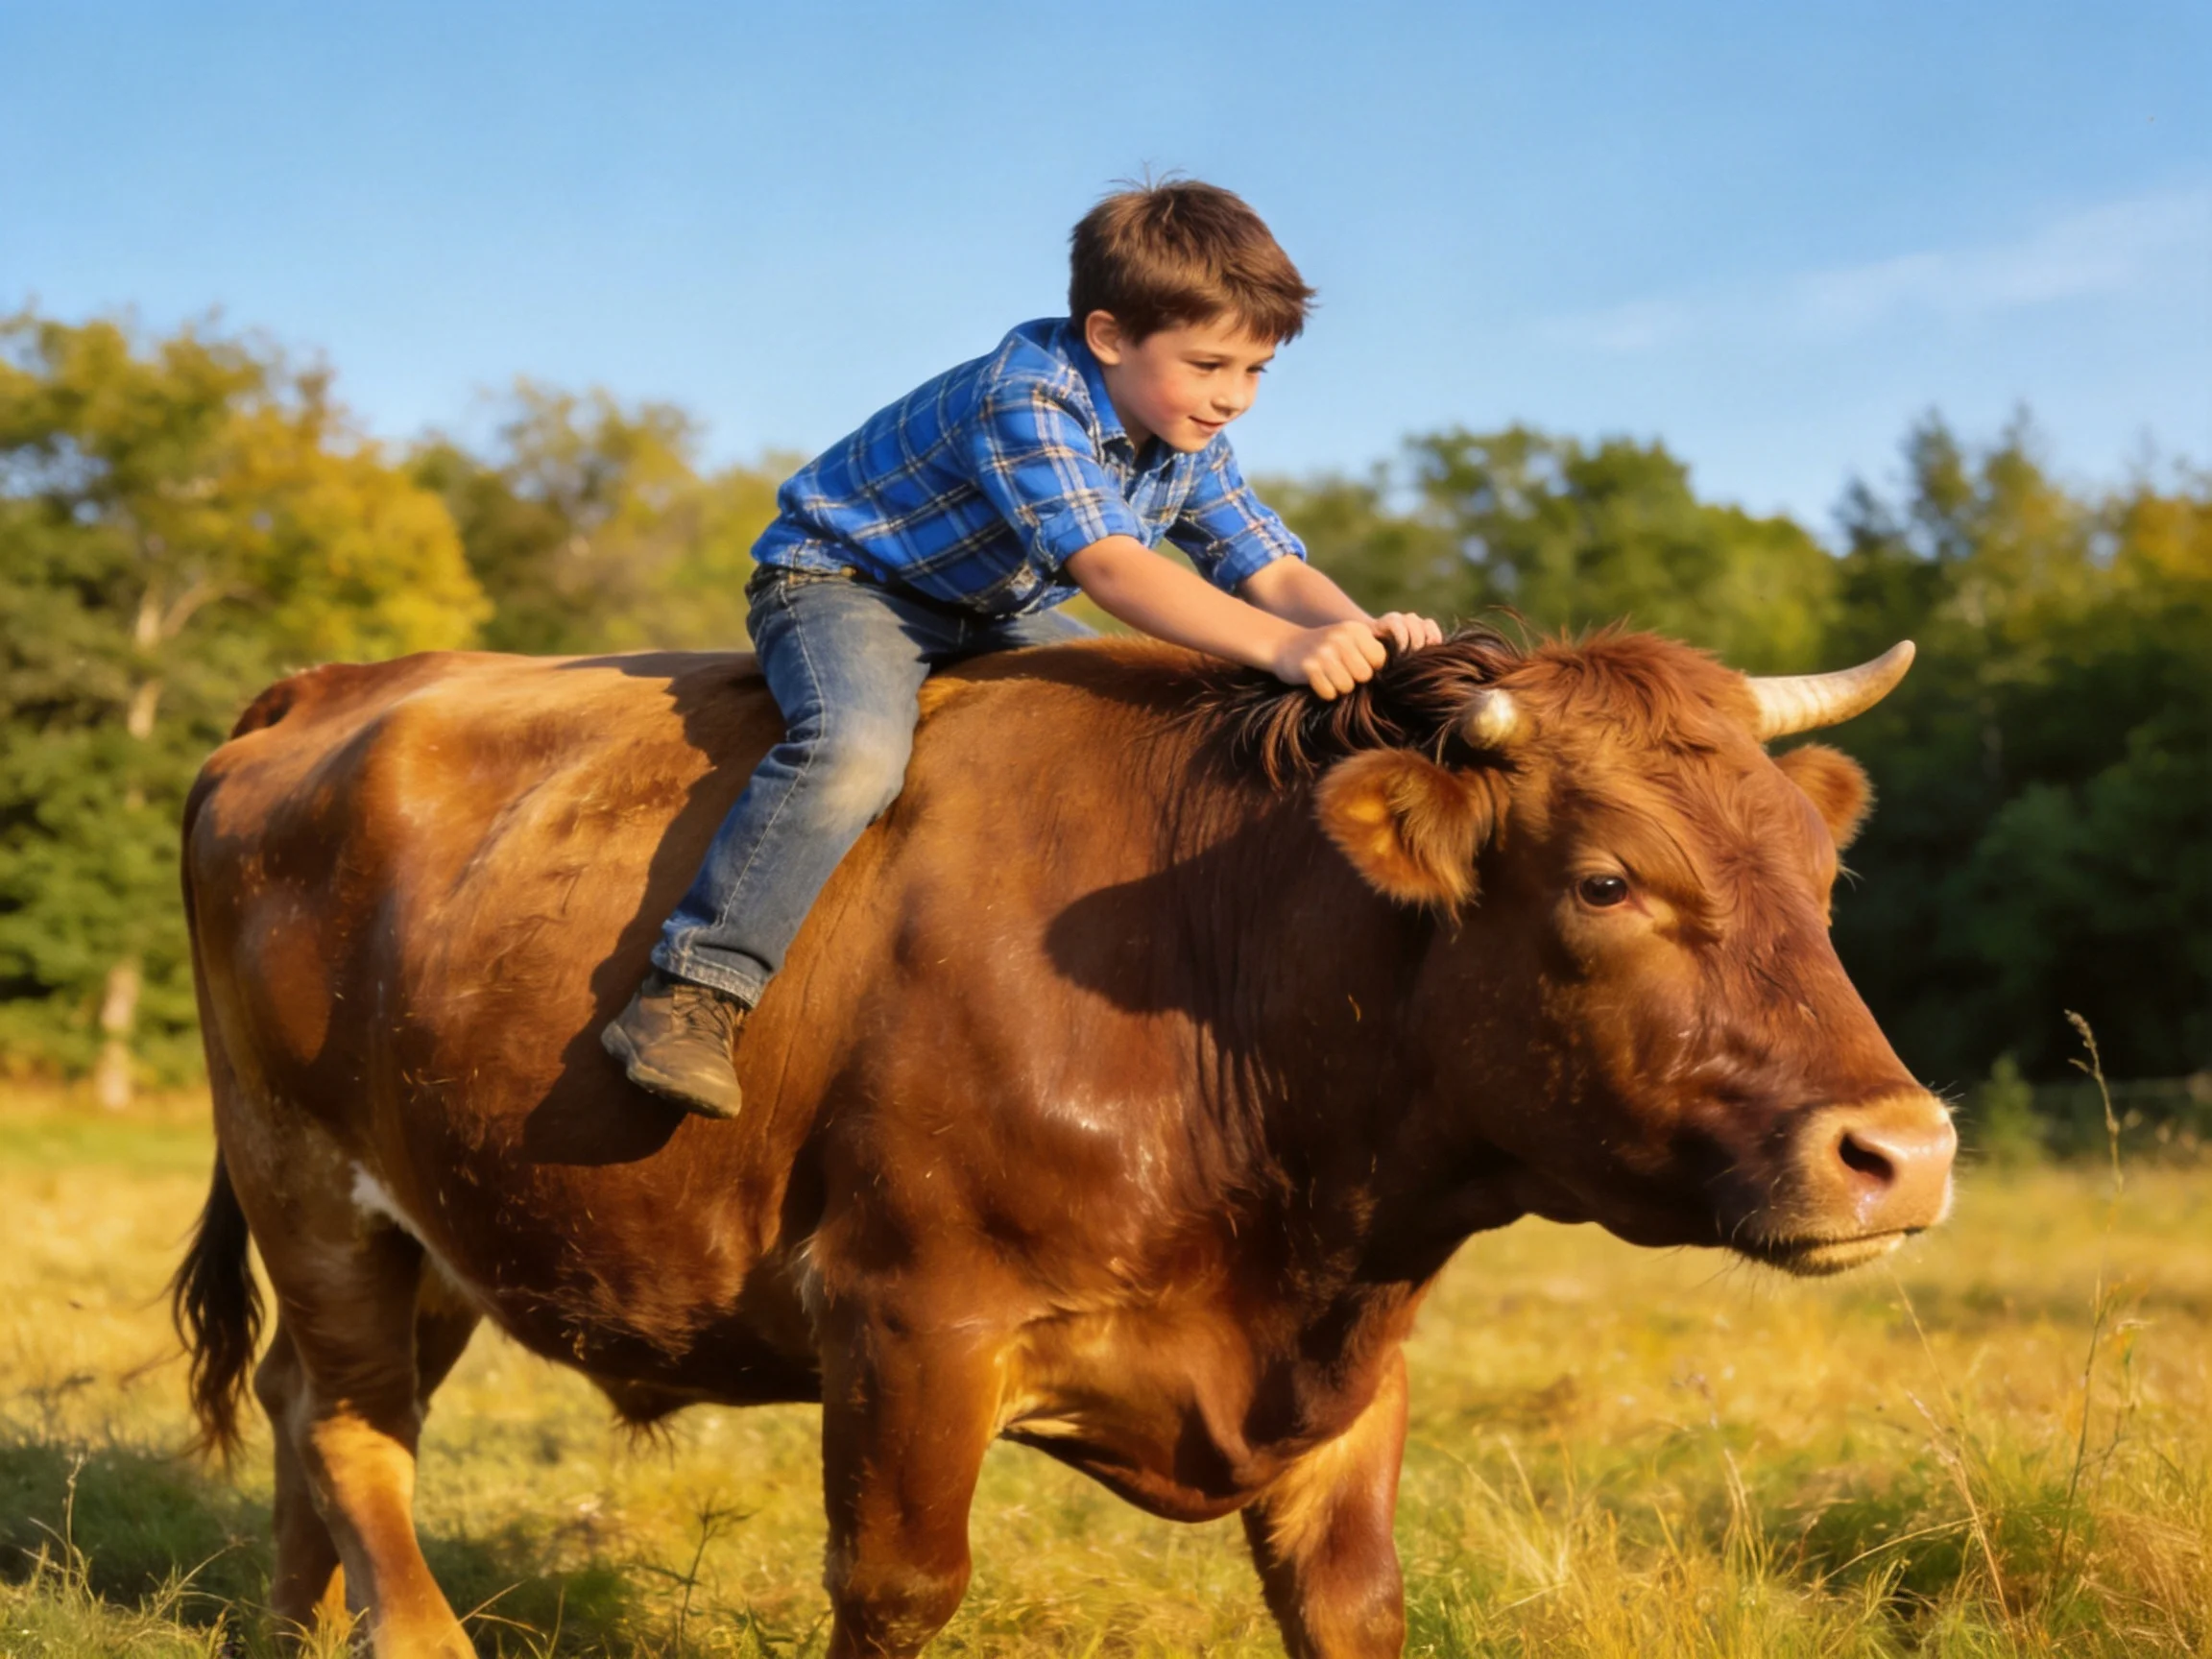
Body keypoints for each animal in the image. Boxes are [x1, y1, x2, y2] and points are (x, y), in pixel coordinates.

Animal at [171, 627, 1954, 1658]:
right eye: (1602, 879)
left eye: (1819, 869)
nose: (1904, 1150)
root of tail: (335, 688)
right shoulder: (906, 1322)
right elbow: (897, 1588)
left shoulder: (1350, 1368)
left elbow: (1349, 1600)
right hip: (306, 1178)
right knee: (349, 1425)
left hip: (443, 1216)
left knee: (314, 1410)